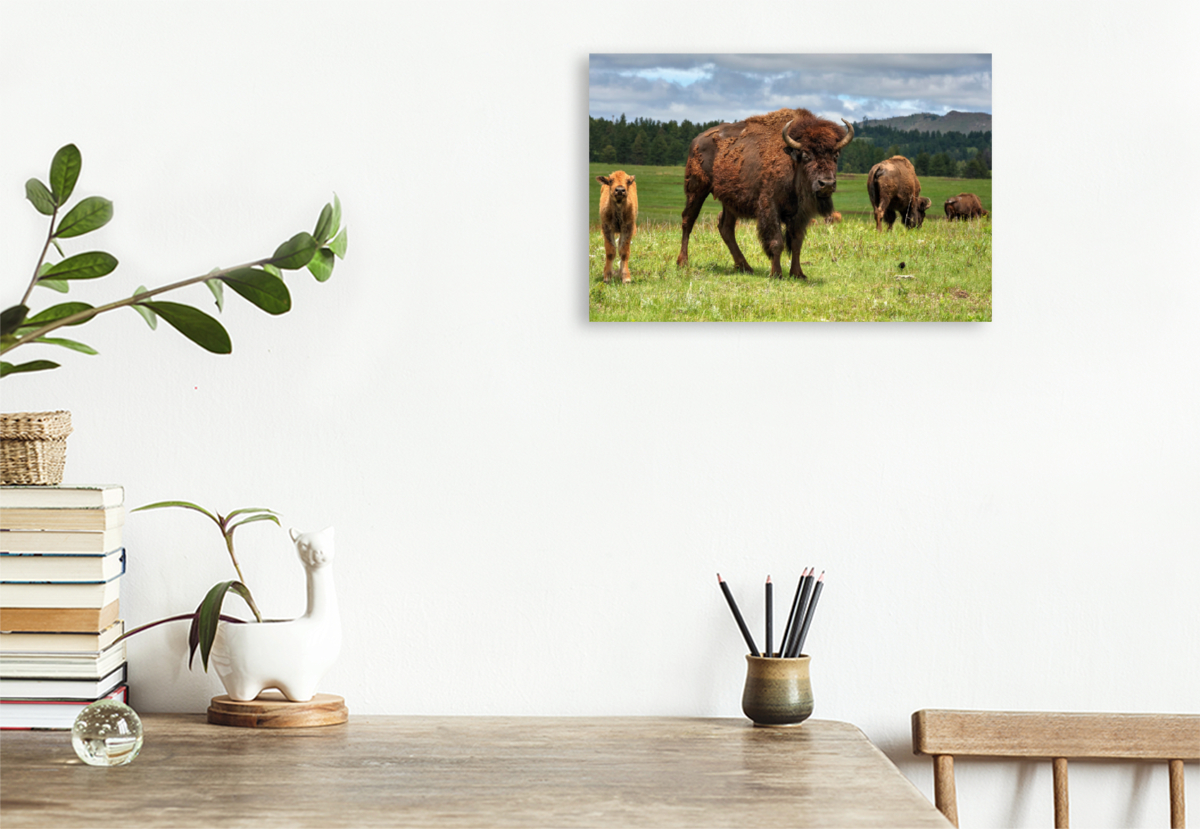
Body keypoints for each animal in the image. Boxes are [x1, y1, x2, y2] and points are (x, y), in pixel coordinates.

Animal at [676, 108, 854, 278]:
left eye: (835, 155)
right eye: (806, 155)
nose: (827, 184)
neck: (792, 162)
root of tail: (697, 140)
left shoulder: (800, 213)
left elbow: (796, 242)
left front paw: (798, 274)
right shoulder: (770, 206)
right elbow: (777, 241)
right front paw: (776, 274)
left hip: (730, 200)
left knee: (726, 227)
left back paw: (745, 267)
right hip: (697, 189)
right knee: (688, 220)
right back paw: (683, 262)